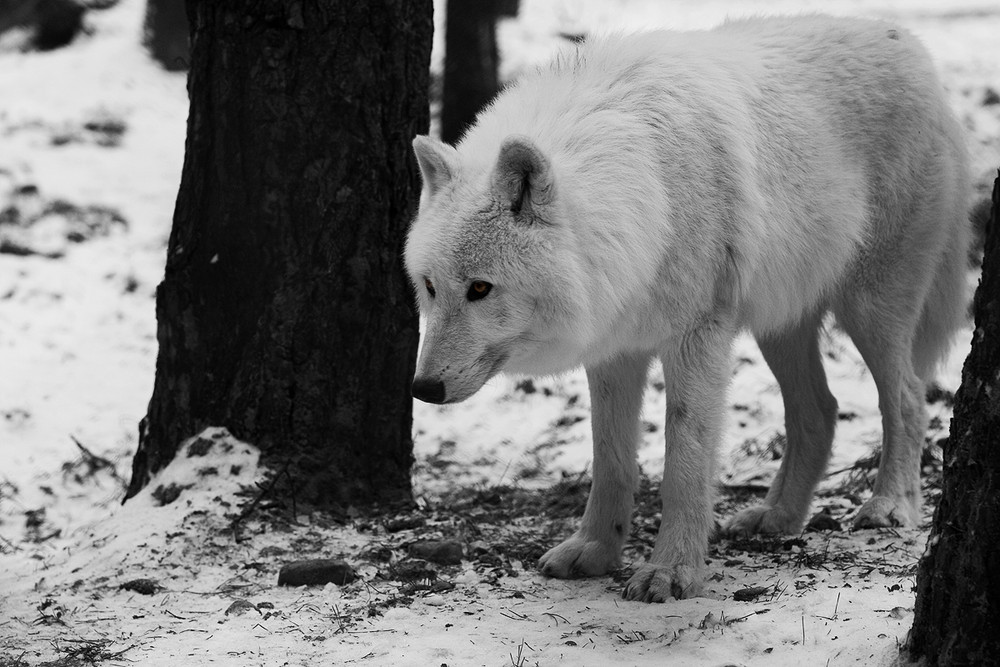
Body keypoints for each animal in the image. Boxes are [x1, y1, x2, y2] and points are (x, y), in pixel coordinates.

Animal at [404, 15, 968, 604]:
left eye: (480, 289)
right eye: (430, 287)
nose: (423, 388)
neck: (649, 194)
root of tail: (910, 46)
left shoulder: (698, 338)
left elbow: (685, 462)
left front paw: (671, 571)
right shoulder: (614, 350)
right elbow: (610, 460)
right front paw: (595, 551)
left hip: (870, 308)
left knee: (907, 398)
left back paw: (888, 505)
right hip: (780, 322)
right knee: (820, 409)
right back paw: (776, 517)